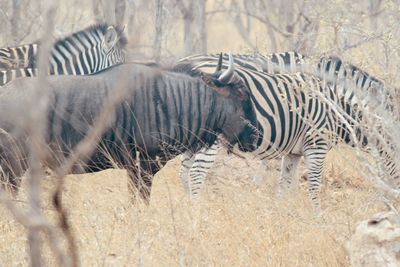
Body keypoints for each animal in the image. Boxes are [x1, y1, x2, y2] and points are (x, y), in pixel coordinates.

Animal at [179, 52, 400, 214]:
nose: (394, 203)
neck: (334, 105)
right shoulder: (316, 144)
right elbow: (313, 184)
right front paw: (317, 218)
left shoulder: (293, 150)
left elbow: (284, 184)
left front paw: (280, 213)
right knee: (196, 173)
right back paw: (198, 212)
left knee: (184, 172)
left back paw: (187, 210)